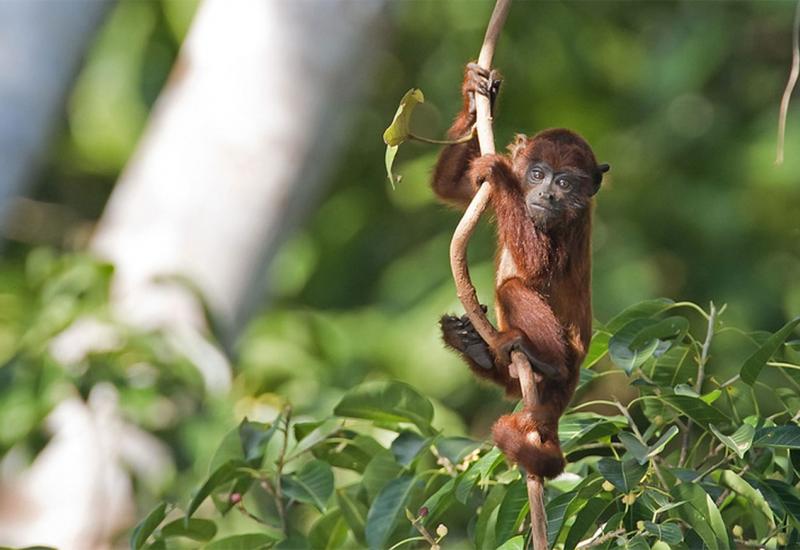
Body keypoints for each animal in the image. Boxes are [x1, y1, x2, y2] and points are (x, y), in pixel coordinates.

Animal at [434, 62, 608, 480]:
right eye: (537, 174)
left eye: (564, 182)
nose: (546, 194)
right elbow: (450, 187)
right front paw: (477, 94)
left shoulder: (572, 222)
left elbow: (534, 267)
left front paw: (497, 172)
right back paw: (471, 344)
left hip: (567, 359)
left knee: (511, 289)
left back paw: (547, 363)